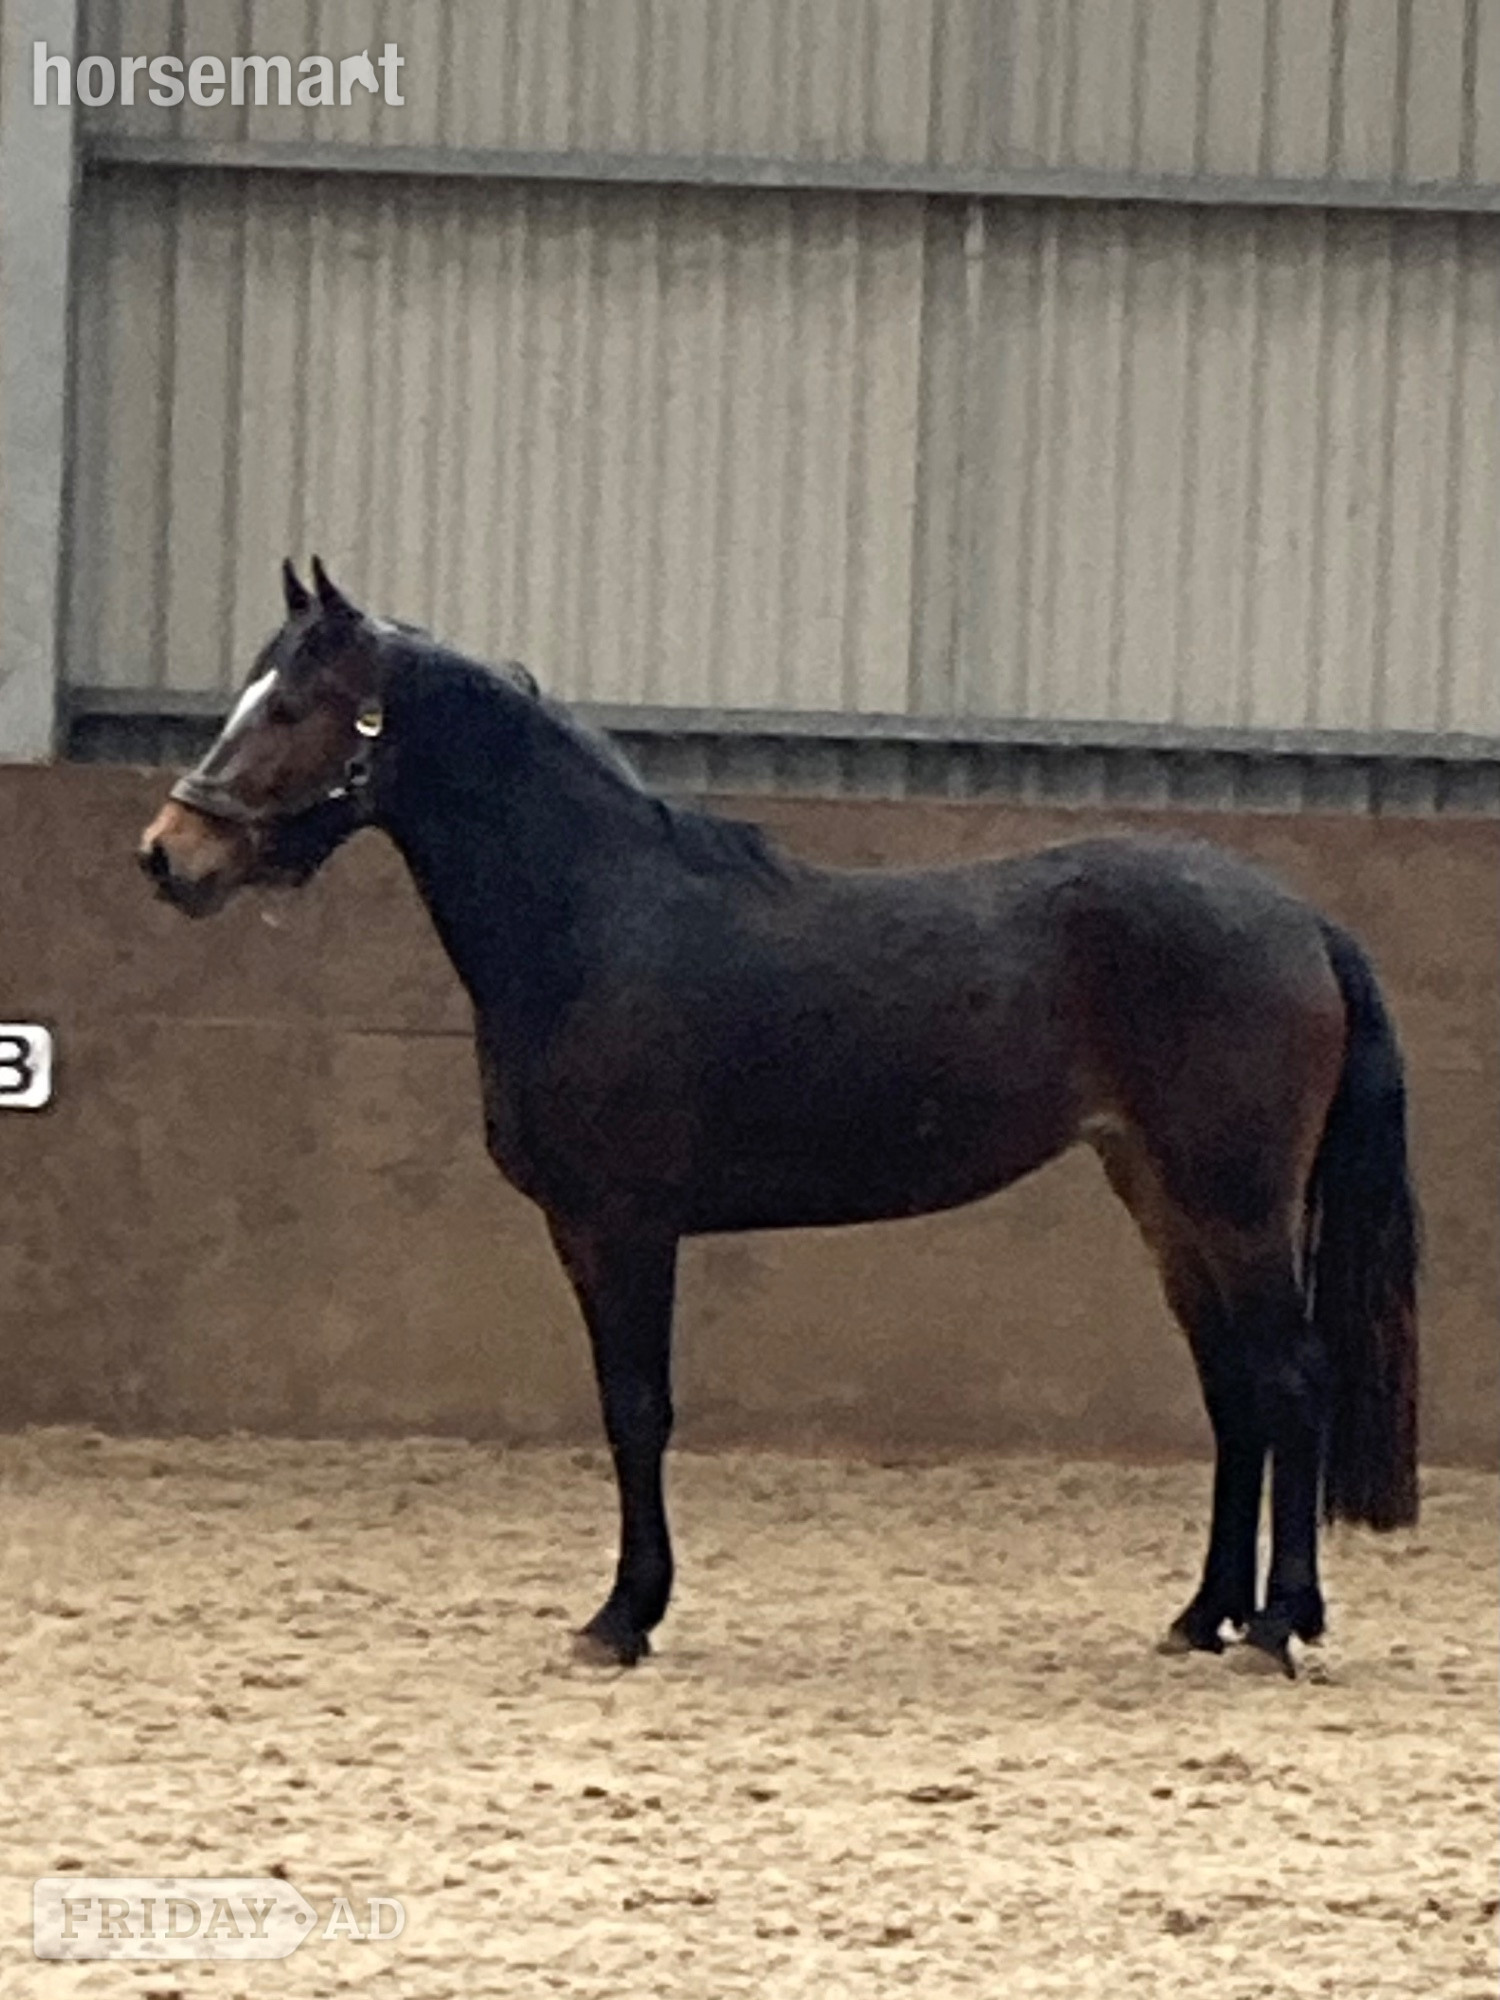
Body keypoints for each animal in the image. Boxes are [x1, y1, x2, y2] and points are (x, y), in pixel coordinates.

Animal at [139, 559, 1419, 1677]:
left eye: (294, 705)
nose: (169, 854)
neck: (598, 920)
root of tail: (1302, 918)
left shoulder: (619, 1223)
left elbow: (635, 1408)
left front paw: (621, 1617)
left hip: (1234, 1200)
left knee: (1292, 1376)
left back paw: (1275, 1627)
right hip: (1163, 1196)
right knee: (1235, 1387)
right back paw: (1203, 1615)